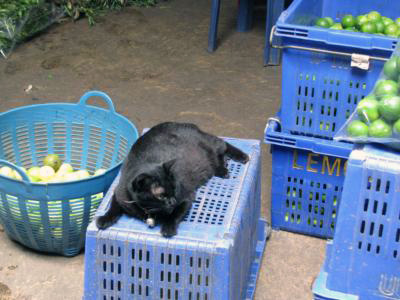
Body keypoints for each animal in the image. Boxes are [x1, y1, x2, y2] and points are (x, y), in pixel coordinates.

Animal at [95, 121, 248, 237]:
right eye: (161, 196)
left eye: (175, 189)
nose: (173, 201)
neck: (148, 210)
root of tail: (185, 124)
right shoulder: (119, 193)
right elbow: (113, 207)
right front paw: (104, 219)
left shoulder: (187, 198)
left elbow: (174, 215)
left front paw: (168, 228)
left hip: (210, 144)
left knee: (223, 145)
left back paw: (237, 159)